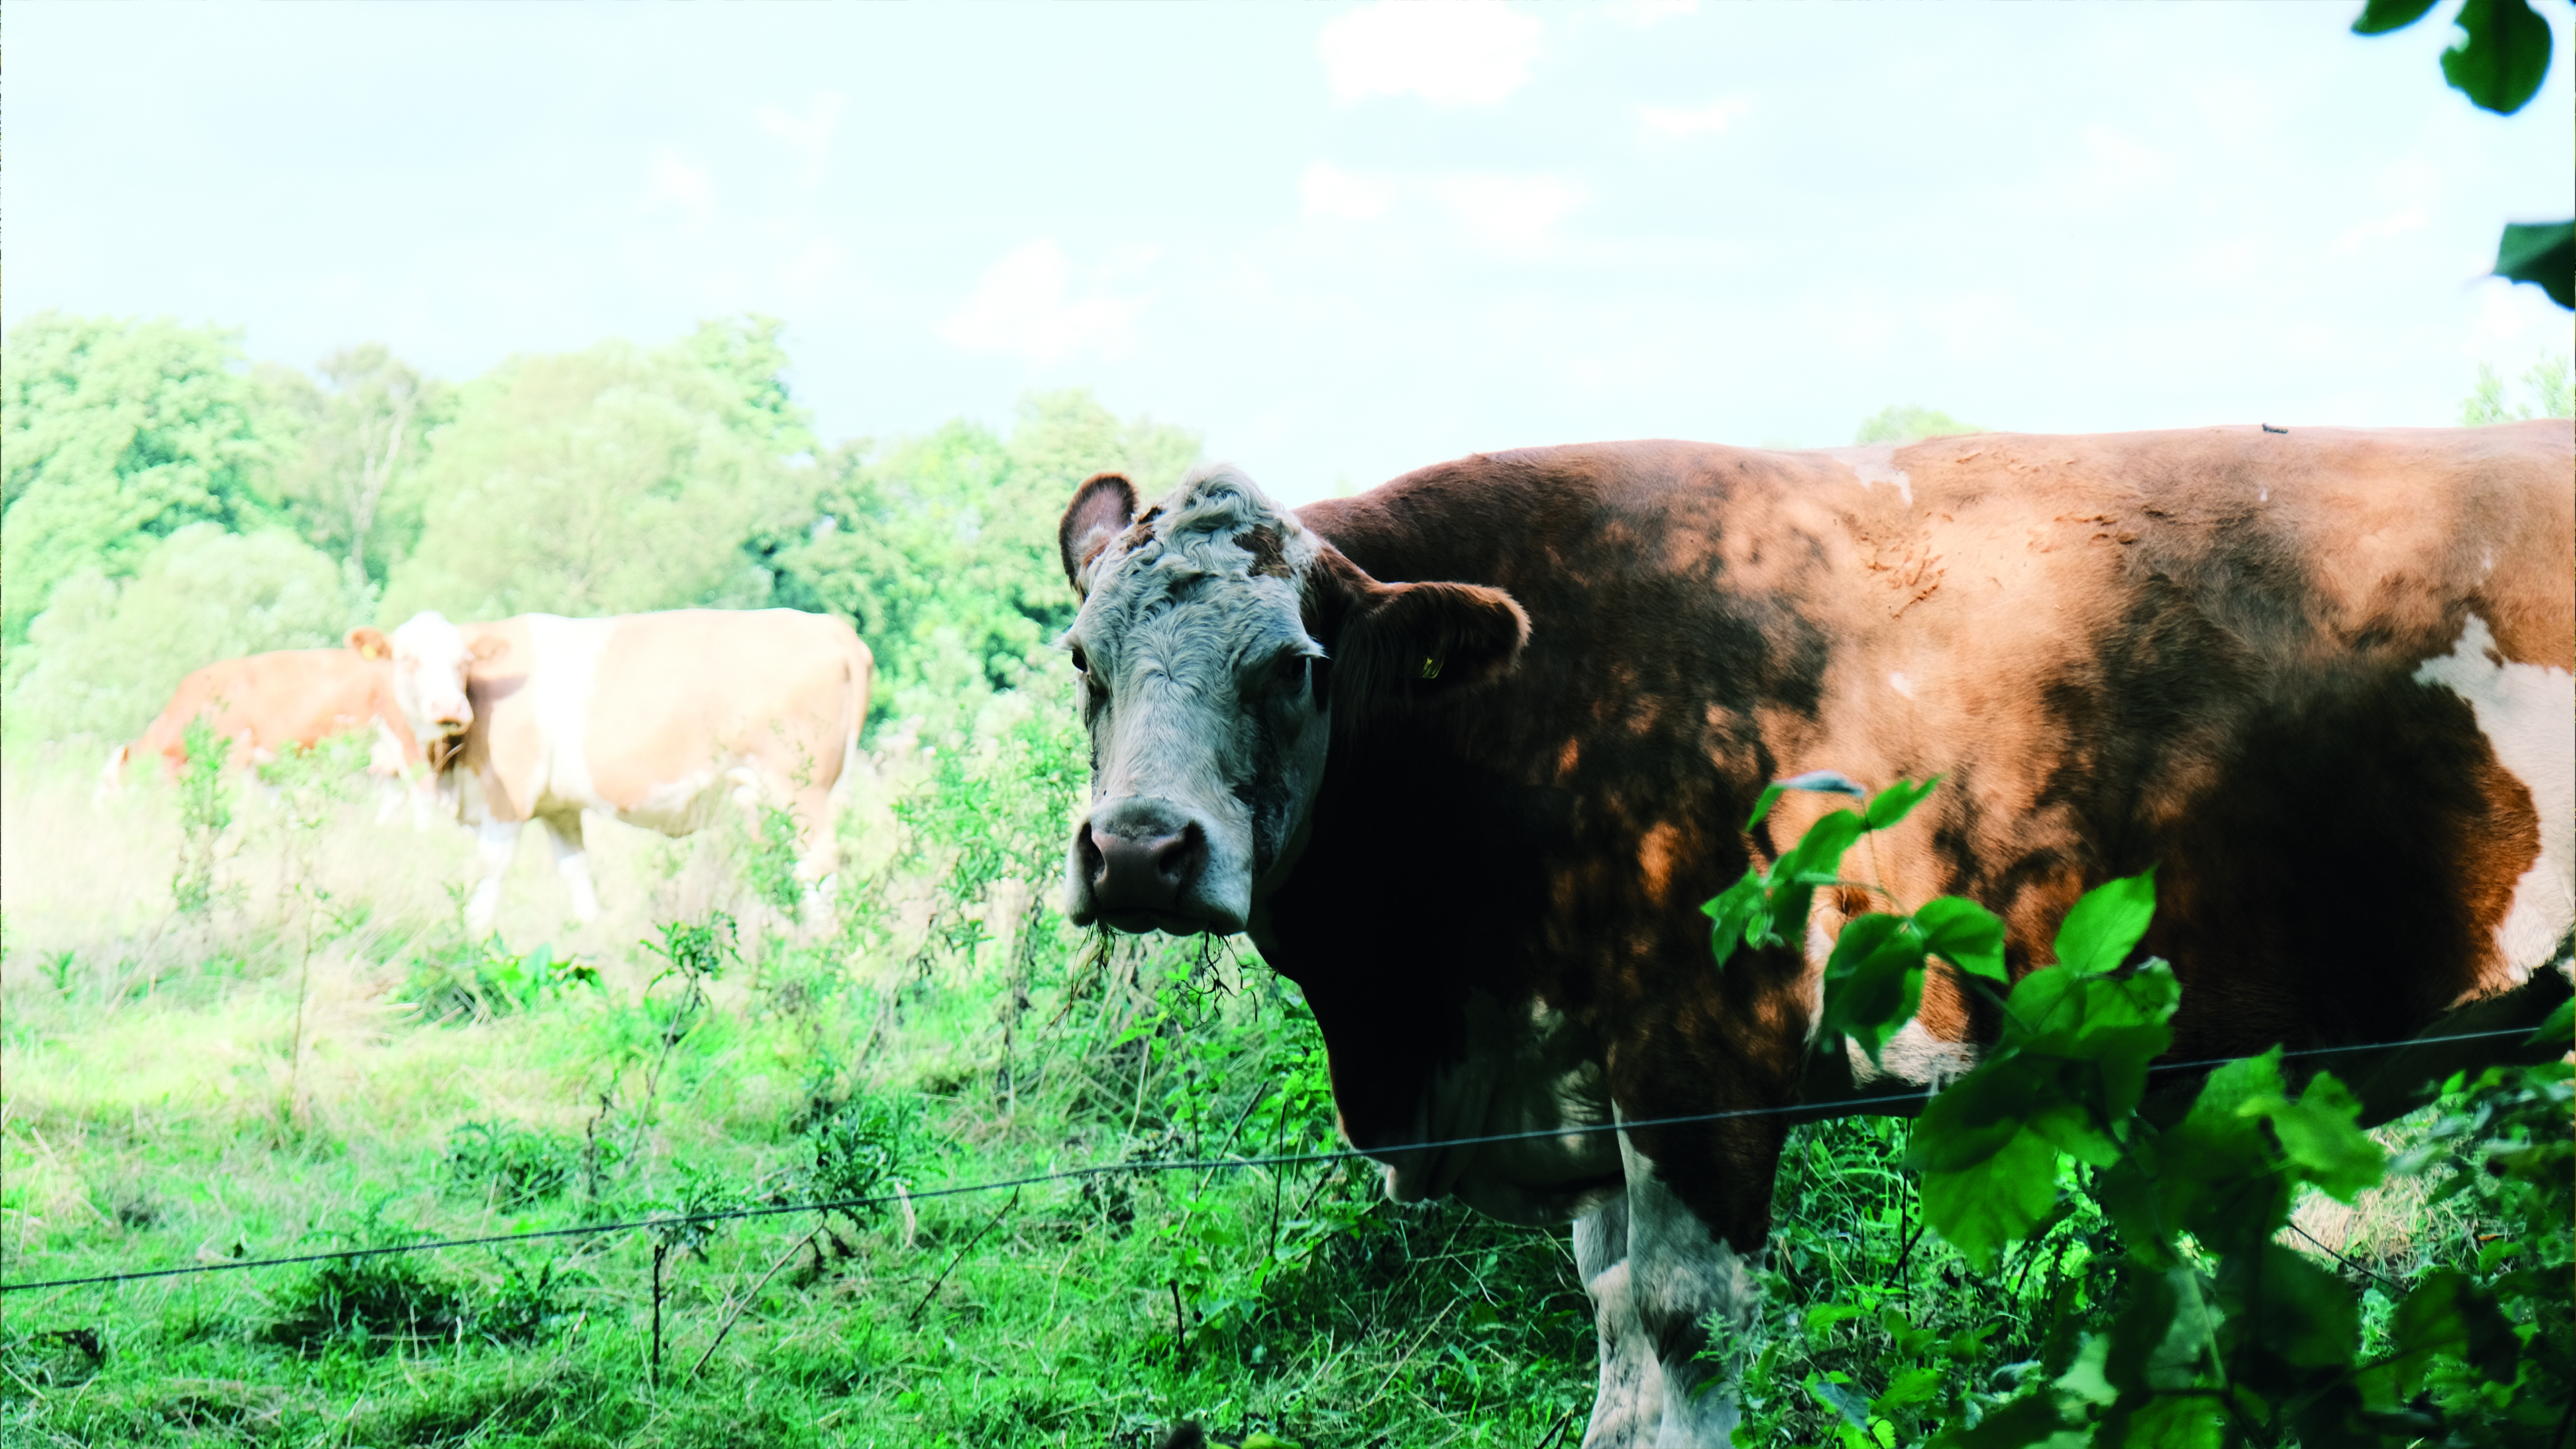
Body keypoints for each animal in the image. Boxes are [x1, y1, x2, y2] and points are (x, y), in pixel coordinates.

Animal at [348, 608, 873, 937]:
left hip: (800, 788)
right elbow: (577, 872)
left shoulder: (506, 797)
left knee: (819, 867)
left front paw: (473, 942)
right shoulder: (558, 809)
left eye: (464, 661)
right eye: (406, 659)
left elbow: (487, 874)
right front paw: (591, 936)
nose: (449, 708)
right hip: (764, 797)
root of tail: (829, 627)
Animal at [1052, 422, 2575, 1446]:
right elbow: (1615, 1342)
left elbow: (1681, 1332)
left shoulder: (1703, 1057)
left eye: (1293, 669)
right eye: (1084, 660)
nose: (1140, 851)